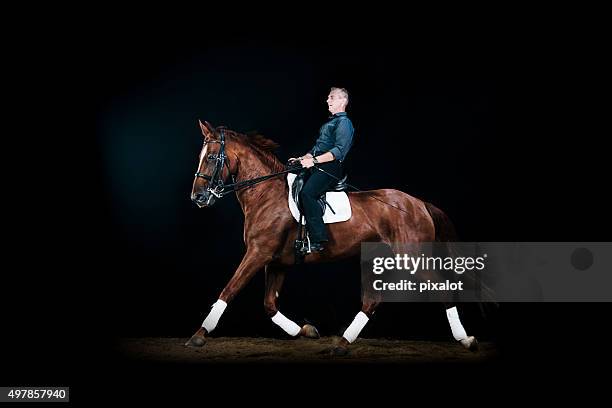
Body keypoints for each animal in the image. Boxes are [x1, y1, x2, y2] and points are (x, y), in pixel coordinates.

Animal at [184, 120, 480, 354]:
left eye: (211, 158)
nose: (198, 197)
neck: (266, 194)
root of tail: (419, 203)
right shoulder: (276, 261)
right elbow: (269, 304)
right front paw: (304, 330)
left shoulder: (258, 253)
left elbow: (229, 290)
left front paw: (199, 335)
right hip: (378, 260)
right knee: (371, 301)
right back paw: (342, 344)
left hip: (412, 257)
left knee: (442, 288)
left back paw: (466, 339)